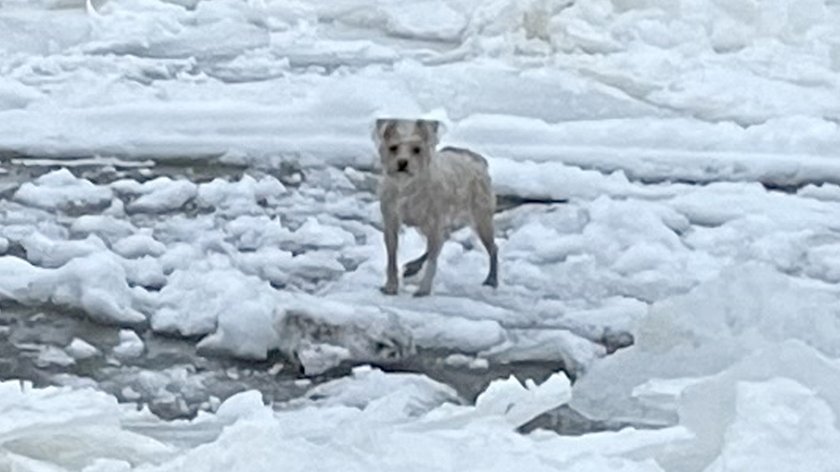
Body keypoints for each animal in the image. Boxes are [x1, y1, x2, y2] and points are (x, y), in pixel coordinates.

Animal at [370, 117, 496, 296]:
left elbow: (432, 261)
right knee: (442, 240)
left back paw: (491, 280)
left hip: (481, 218)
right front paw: (391, 286)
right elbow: (392, 255)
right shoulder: (391, 221)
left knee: (492, 248)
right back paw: (412, 267)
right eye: (393, 147)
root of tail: (479, 161)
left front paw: (423, 289)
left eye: (417, 149)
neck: (407, 187)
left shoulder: (435, 222)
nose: (402, 162)